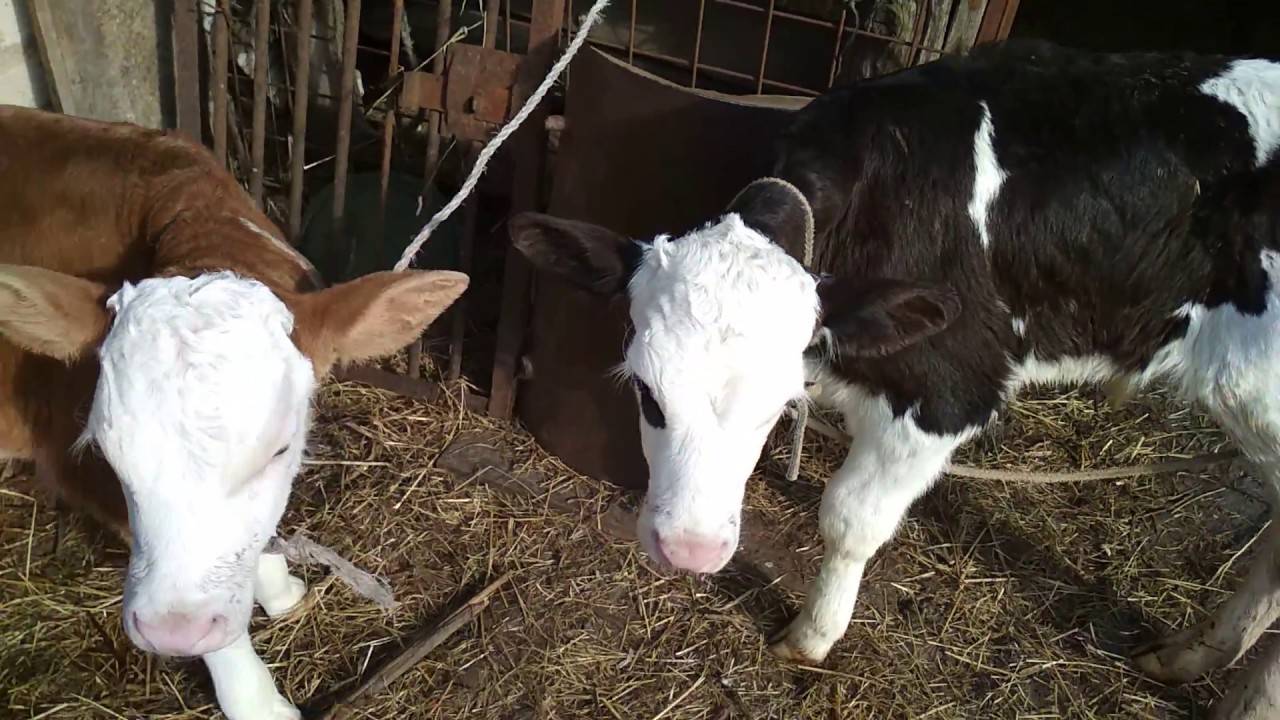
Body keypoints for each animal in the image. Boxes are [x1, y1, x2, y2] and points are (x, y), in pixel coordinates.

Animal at [506, 41, 1280, 712]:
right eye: (647, 392)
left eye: (775, 408)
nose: (692, 551)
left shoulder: (948, 389)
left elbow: (849, 519)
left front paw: (811, 637)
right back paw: (1191, 654)